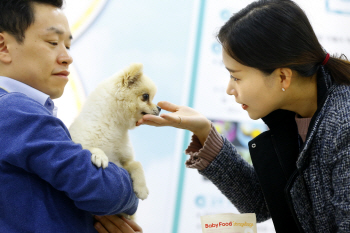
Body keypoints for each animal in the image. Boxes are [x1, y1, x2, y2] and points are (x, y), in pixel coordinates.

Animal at [68, 63, 161, 200]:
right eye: (145, 96)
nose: (159, 108)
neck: (114, 126)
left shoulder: (123, 161)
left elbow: (137, 164)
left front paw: (142, 188)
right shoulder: (78, 140)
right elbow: (91, 147)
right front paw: (100, 156)